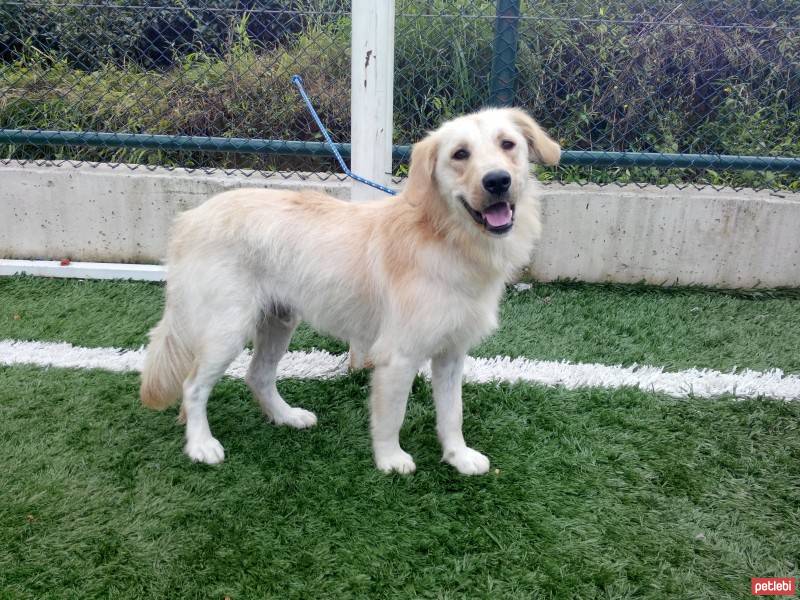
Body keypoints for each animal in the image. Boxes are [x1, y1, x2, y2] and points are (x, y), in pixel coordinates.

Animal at [141, 106, 560, 474]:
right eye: (460, 154)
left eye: (508, 144)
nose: (497, 181)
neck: (446, 238)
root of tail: (188, 219)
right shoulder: (398, 356)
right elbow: (392, 415)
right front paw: (390, 460)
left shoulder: (451, 354)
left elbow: (452, 414)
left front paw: (458, 457)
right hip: (227, 329)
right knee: (193, 386)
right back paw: (201, 445)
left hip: (278, 321)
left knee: (257, 376)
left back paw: (286, 417)